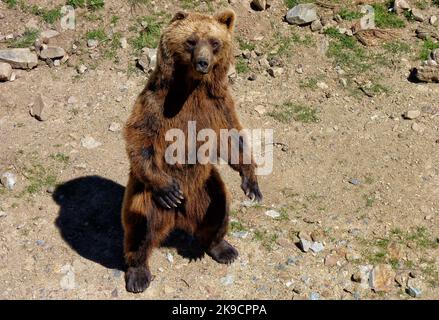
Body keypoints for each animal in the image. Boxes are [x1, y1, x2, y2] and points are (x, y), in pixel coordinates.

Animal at [122, 8, 262, 292]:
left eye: (215, 42)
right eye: (191, 41)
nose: (203, 63)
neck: (192, 87)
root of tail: (178, 217)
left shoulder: (218, 104)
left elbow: (232, 137)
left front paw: (251, 183)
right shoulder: (155, 102)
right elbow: (138, 137)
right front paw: (168, 190)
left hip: (205, 188)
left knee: (218, 210)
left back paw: (224, 249)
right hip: (145, 195)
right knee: (140, 226)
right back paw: (138, 274)